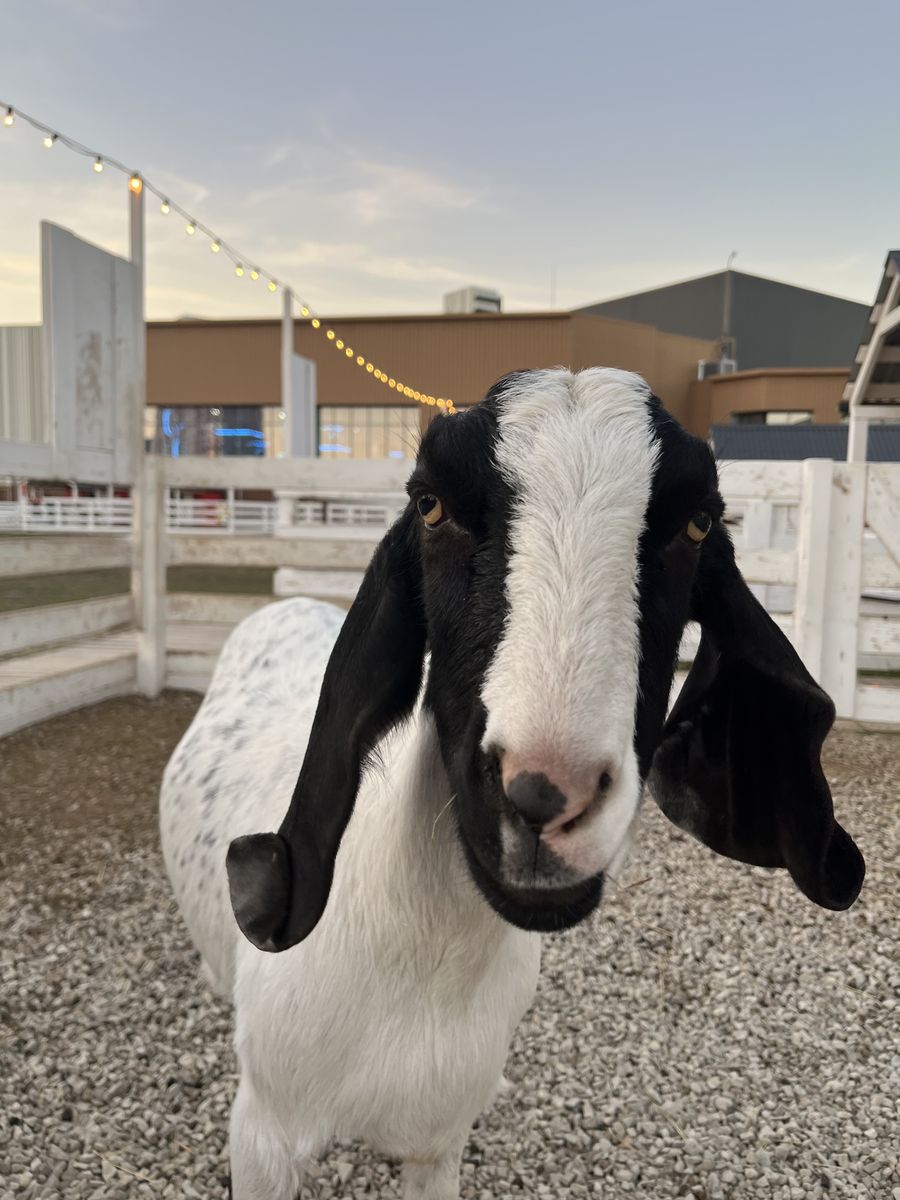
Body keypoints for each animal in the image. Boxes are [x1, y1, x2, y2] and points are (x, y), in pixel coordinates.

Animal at [160, 367, 864, 1199]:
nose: (543, 797)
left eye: (697, 523)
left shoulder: (437, 1147)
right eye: (430, 505)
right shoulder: (265, 1137)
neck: (417, 969)